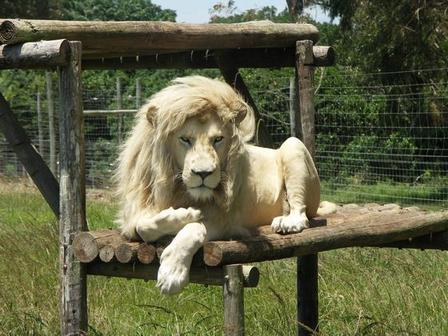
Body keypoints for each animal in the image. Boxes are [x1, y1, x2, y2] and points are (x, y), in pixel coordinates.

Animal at [115, 76, 326, 294]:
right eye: (185, 139)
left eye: (218, 139)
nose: (203, 173)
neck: (180, 189)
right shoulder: (135, 214)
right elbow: (143, 226)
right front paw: (182, 215)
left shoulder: (225, 222)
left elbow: (195, 227)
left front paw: (172, 273)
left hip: (294, 146)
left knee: (301, 213)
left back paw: (287, 222)